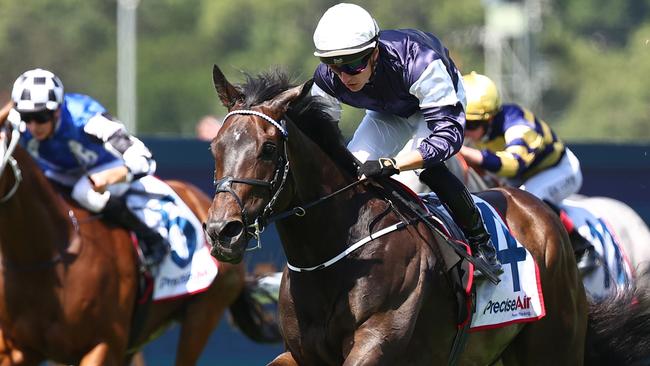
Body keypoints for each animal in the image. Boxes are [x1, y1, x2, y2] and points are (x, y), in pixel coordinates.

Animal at [204, 66, 648, 366]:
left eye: (267, 149)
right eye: (215, 147)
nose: (222, 231)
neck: (333, 256)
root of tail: (537, 211)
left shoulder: (380, 342)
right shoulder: (302, 353)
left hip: (553, 345)